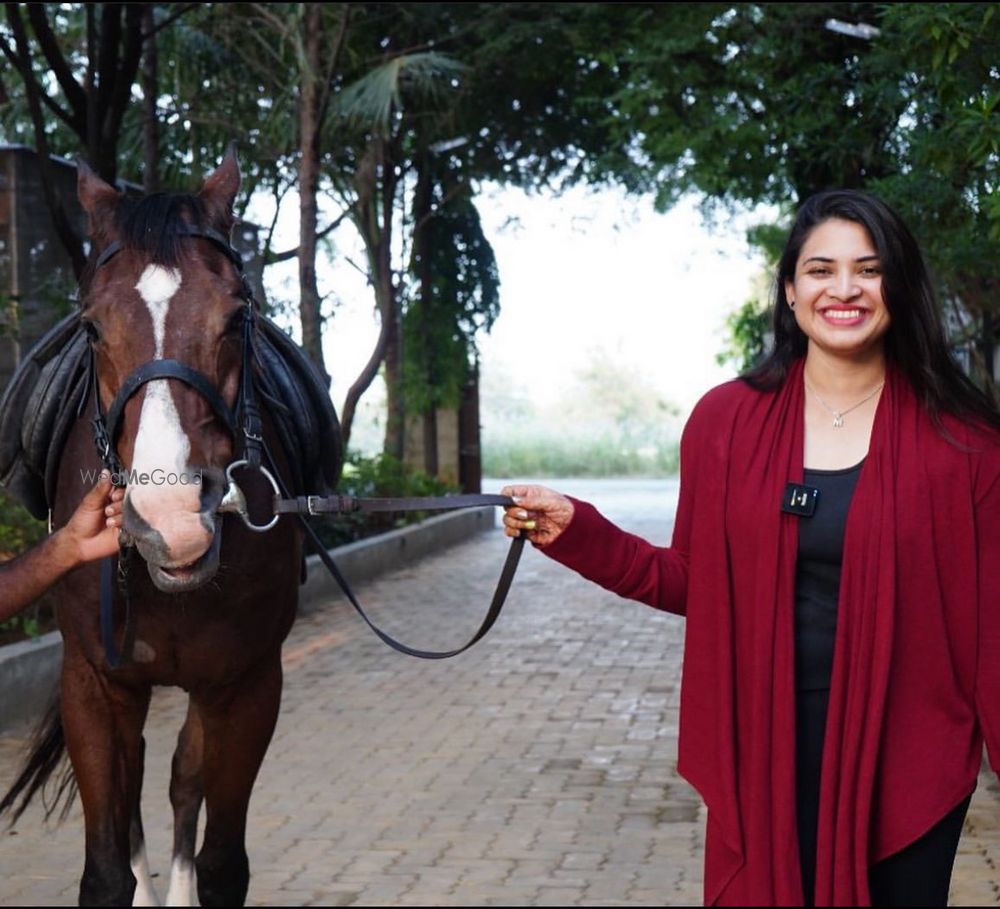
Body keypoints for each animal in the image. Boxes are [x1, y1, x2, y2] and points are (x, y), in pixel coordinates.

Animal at [0, 153, 340, 904]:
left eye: (237, 317)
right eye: (92, 328)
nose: (172, 523)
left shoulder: (246, 684)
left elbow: (220, 860)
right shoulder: (95, 685)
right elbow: (104, 867)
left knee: (184, 777)